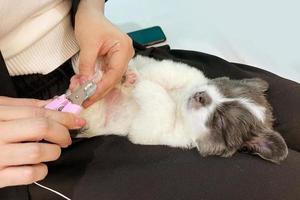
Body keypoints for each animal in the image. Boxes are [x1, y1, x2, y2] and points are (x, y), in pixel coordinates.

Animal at [76, 55, 288, 163]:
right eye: (221, 87)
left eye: (219, 121)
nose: (201, 96)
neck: (180, 102)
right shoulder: (187, 75)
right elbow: (169, 72)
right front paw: (137, 74)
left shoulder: (154, 130)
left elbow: (161, 102)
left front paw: (137, 82)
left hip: (94, 115)